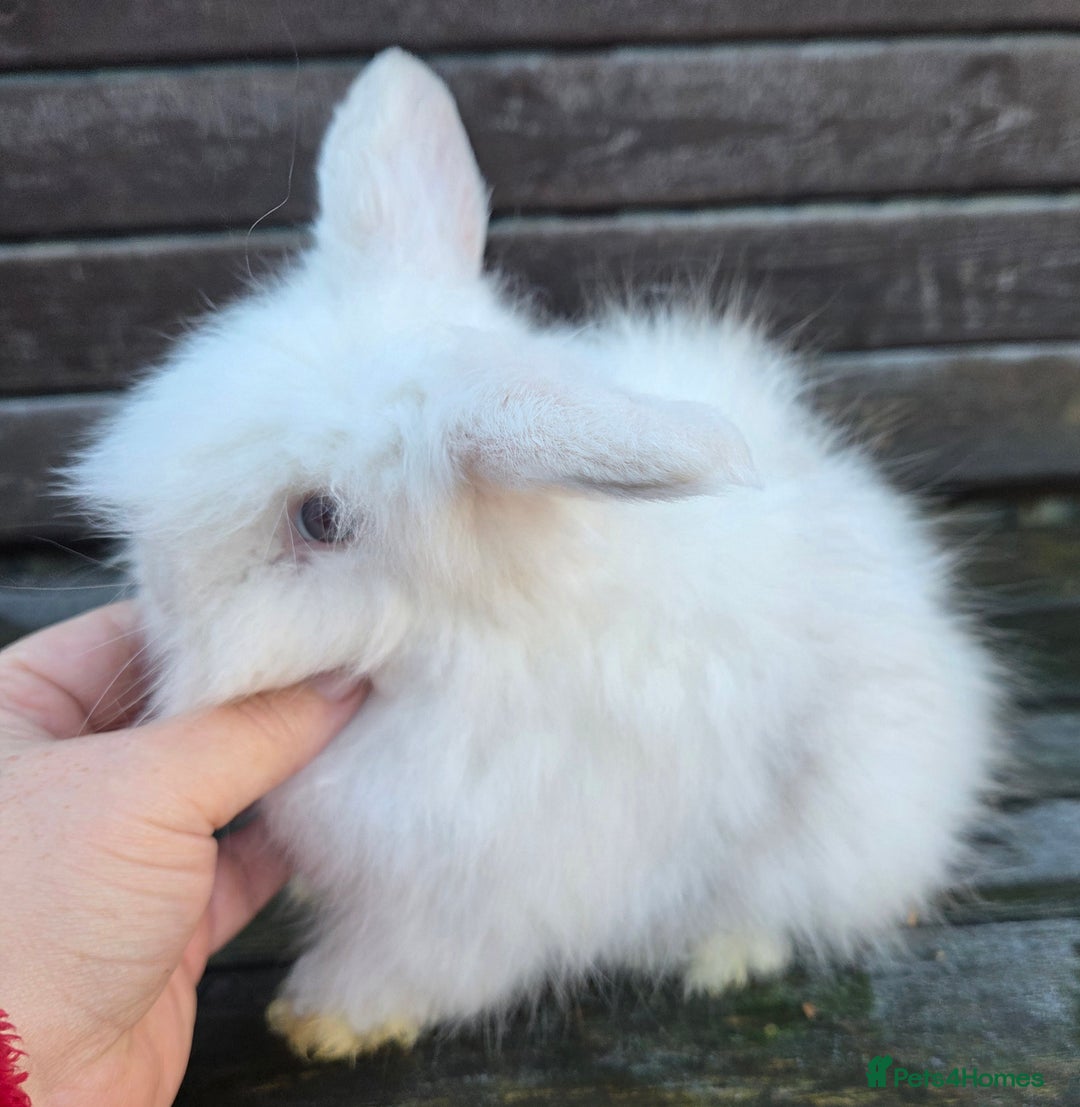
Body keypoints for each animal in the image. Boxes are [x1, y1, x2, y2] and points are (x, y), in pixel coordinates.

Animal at [69, 48, 1002, 1061]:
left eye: (320, 519)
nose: (162, 600)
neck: (453, 656)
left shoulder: (476, 881)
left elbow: (413, 959)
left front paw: (323, 1020)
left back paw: (720, 954)